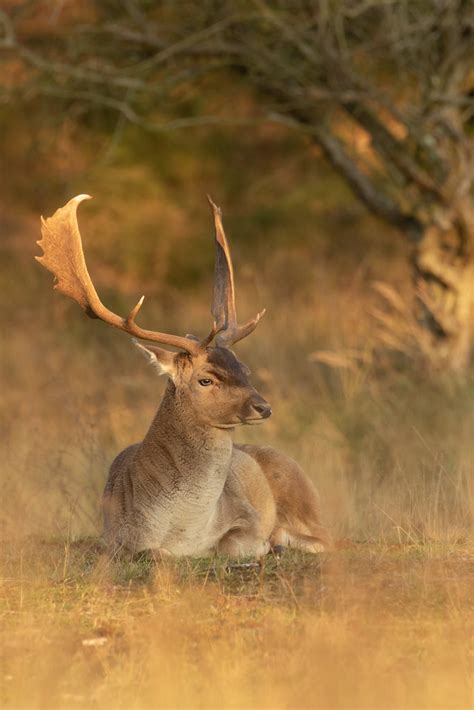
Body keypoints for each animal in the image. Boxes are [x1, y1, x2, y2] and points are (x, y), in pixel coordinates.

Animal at [37, 196, 332, 560]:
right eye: (206, 379)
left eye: (244, 369)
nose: (263, 407)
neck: (183, 531)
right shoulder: (116, 538)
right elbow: (152, 552)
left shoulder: (246, 518)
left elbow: (230, 544)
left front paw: (268, 544)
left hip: (300, 489)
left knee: (326, 537)